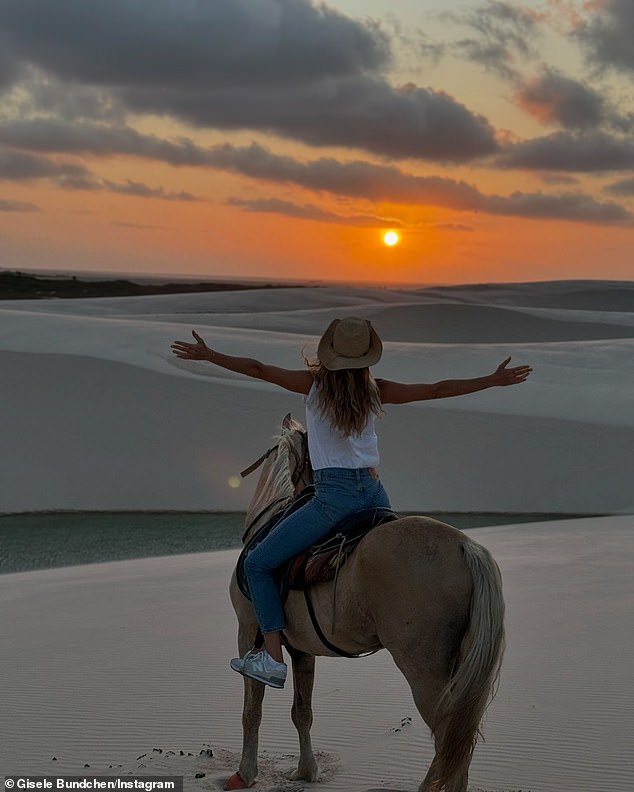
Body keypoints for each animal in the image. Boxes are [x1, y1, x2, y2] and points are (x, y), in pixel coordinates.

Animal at [227, 414, 504, 792]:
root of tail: (465, 545)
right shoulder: (302, 651)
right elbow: (302, 713)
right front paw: (306, 770)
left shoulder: (248, 631)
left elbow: (251, 712)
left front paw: (245, 773)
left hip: (425, 671)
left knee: (449, 739)